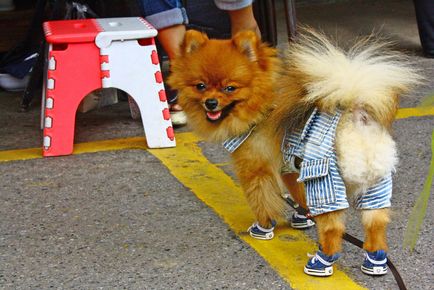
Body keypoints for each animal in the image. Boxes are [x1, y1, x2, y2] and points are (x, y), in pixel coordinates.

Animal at [167, 28, 420, 276]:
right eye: (200, 86)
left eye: (230, 88)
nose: (210, 102)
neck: (260, 105)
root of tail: (353, 115)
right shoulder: (290, 165)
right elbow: (298, 194)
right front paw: (303, 217)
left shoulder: (256, 170)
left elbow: (262, 201)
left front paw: (263, 228)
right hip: (375, 182)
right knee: (376, 221)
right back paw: (375, 260)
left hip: (324, 178)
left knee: (333, 226)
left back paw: (321, 262)